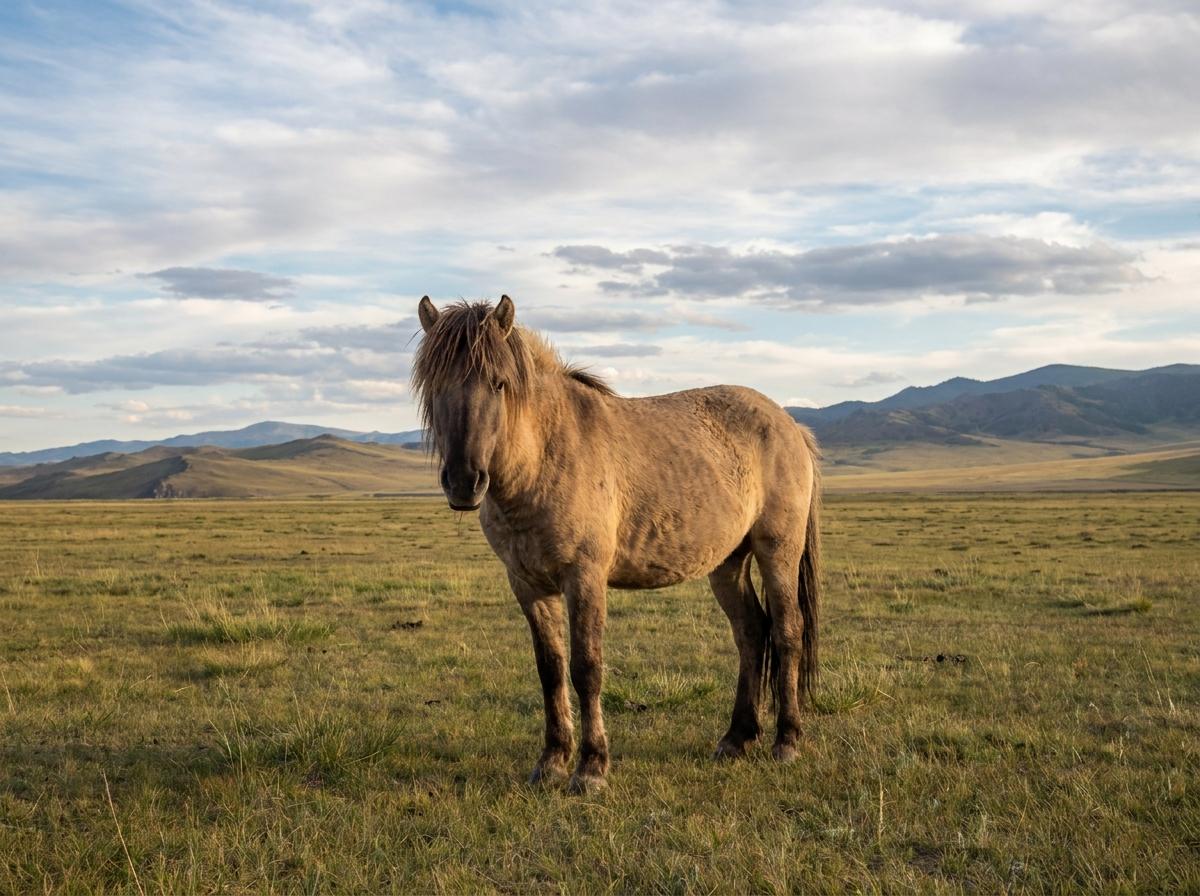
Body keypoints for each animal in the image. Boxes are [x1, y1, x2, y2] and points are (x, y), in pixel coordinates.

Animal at [412, 295, 821, 793]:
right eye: (435, 385)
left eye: (499, 383)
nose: (463, 482)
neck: (545, 457)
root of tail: (789, 424)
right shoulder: (527, 584)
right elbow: (550, 669)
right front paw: (552, 761)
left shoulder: (584, 578)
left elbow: (586, 668)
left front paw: (591, 767)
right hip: (728, 562)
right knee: (750, 632)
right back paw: (736, 739)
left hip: (777, 549)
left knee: (786, 631)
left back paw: (787, 741)